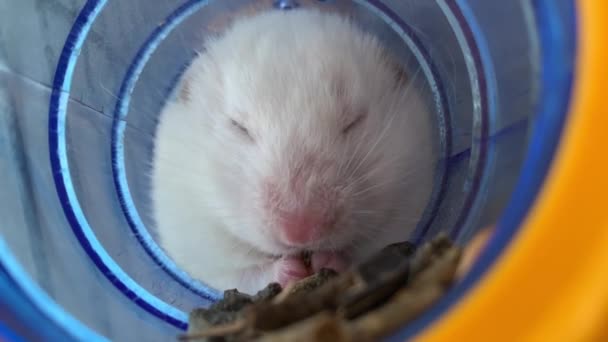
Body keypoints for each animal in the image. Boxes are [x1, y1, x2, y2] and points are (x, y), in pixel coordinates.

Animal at [153, 9, 436, 296]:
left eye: (353, 121)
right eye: (239, 127)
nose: (301, 234)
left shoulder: (410, 203)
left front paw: (327, 260)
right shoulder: (199, 249)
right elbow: (244, 275)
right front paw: (292, 270)